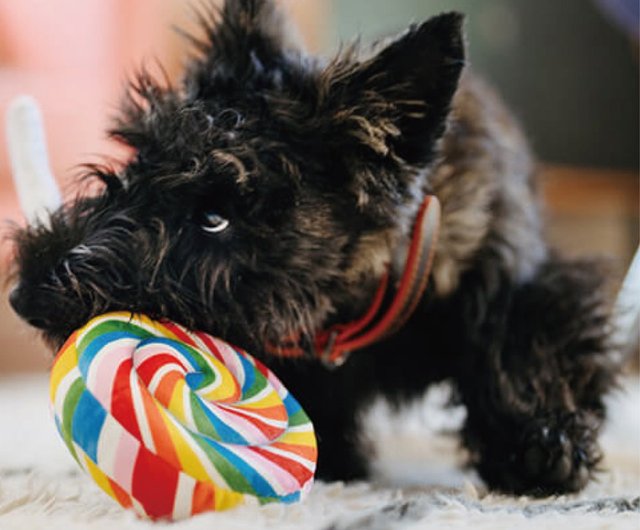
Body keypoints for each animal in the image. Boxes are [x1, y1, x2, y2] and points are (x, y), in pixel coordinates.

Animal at [11, 0, 620, 496]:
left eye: (215, 218)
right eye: (136, 160)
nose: (24, 295)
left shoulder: (520, 286)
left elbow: (522, 349)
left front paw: (541, 445)